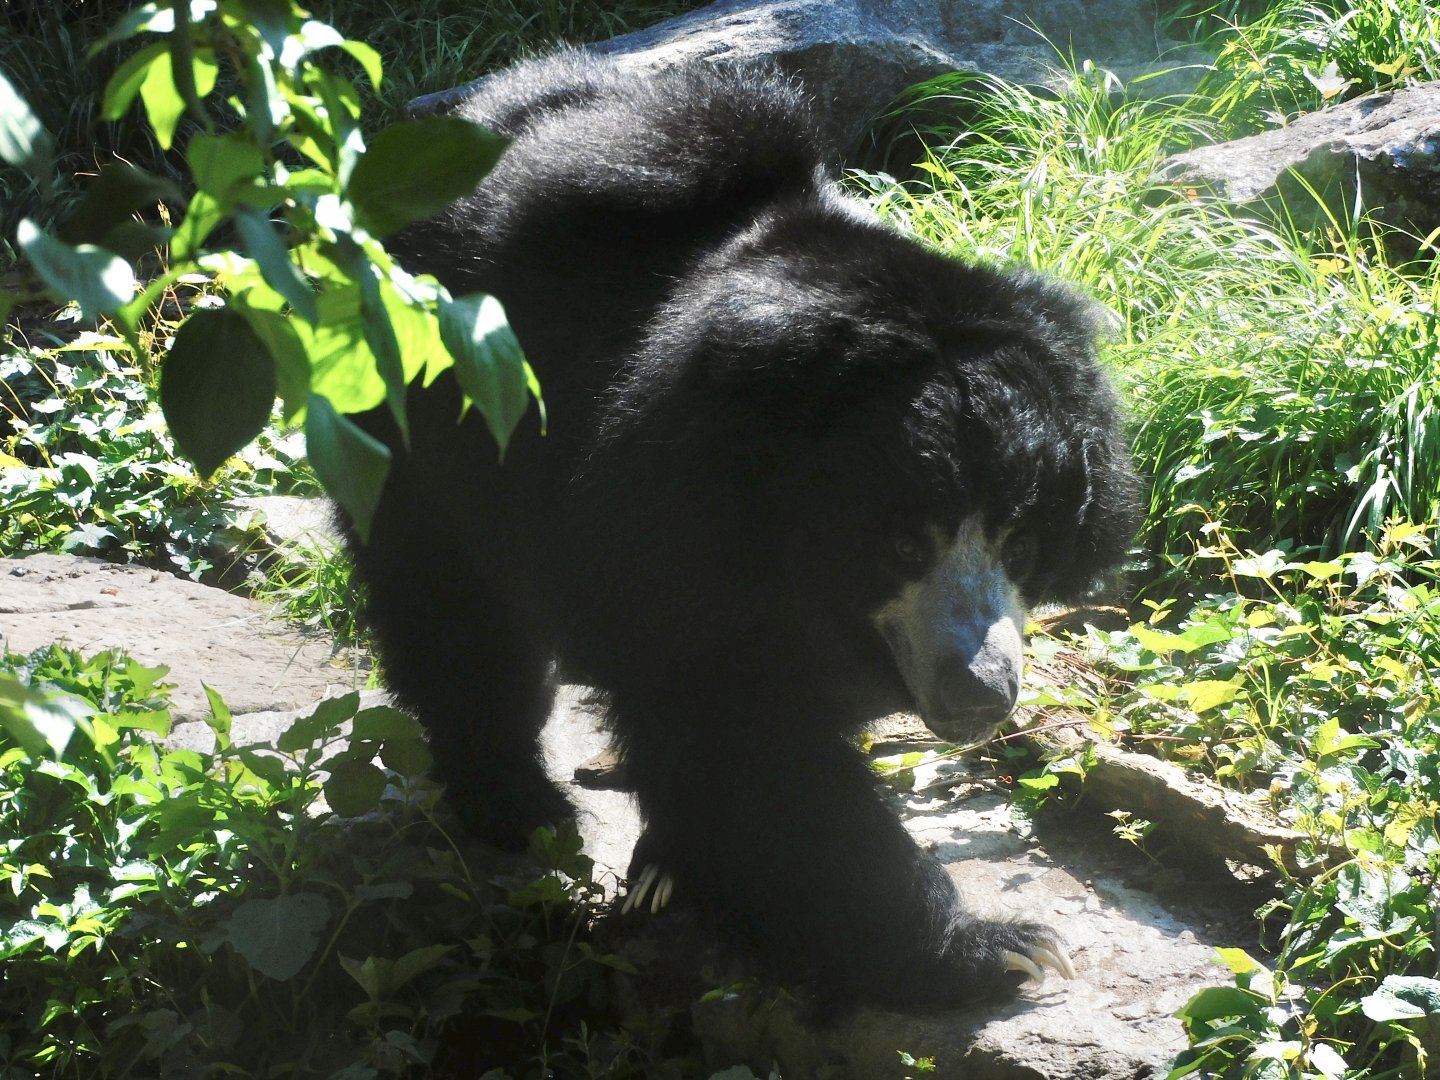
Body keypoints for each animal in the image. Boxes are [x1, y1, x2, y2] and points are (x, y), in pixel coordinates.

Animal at [343, 52, 1139, 1008]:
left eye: (1021, 542)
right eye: (903, 543)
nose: (979, 694)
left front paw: (673, 865)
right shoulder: (677, 528)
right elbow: (745, 738)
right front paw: (999, 948)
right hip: (428, 424)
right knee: (453, 615)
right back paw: (516, 804)